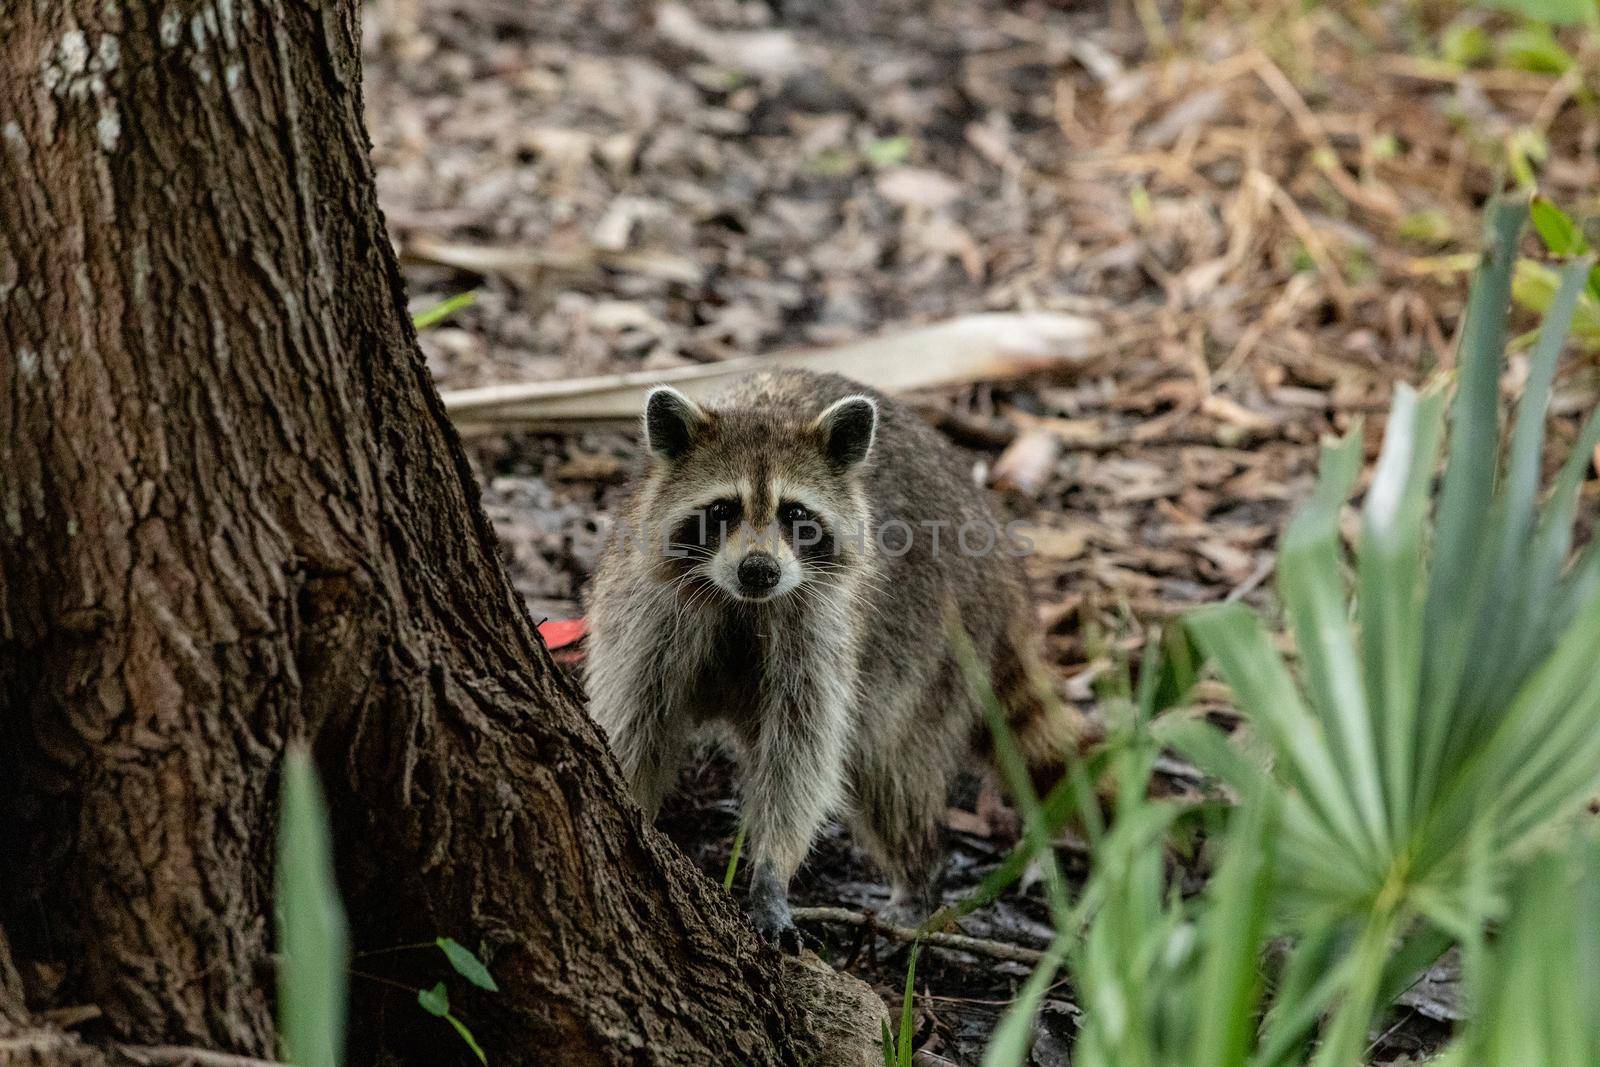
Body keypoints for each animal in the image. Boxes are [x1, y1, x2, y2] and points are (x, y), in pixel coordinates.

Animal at [582, 369, 1094, 953]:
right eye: (722, 510)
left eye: (796, 514)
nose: (759, 570)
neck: (740, 603)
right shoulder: (646, 614)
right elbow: (637, 722)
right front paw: (631, 804)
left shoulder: (824, 627)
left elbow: (803, 751)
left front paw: (772, 871)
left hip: (936, 639)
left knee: (890, 766)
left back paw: (918, 873)